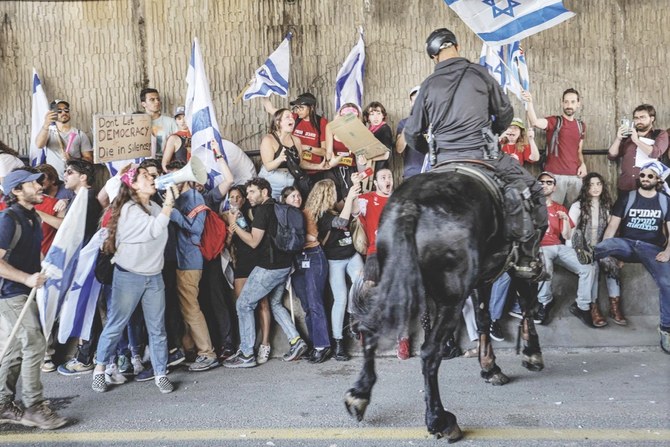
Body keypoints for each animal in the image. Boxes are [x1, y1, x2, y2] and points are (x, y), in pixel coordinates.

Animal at [346, 166, 544, 442]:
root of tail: (410, 206)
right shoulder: (513, 269)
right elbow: (525, 302)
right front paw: (532, 354)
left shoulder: (483, 277)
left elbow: (482, 317)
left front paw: (489, 367)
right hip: (451, 300)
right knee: (430, 352)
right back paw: (439, 420)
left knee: (370, 329)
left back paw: (359, 395)